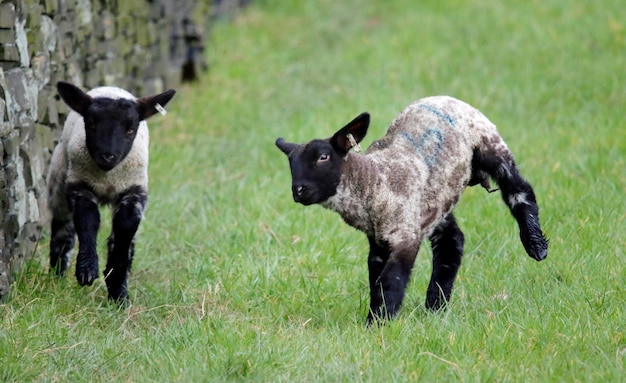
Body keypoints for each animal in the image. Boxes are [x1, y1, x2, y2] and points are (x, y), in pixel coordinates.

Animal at [47, 82, 176, 304]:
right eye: (90, 123)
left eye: (131, 129)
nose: (108, 156)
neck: (108, 178)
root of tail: (110, 87)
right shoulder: (80, 186)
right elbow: (88, 221)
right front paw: (87, 270)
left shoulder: (133, 193)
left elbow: (124, 230)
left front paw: (117, 288)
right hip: (59, 183)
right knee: (62, 235)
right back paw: (56, 278)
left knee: (123, 239)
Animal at [276, 97, 544, 324]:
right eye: (290, 163)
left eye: (323, 157)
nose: (298, 190)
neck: (371, 180)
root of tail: (447, 98)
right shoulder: (379, 238)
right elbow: (375, 277)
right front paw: (378, 315)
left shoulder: (404, 233)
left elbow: (390, 279)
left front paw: (378, 323)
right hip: (435, 200)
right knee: (452, 241)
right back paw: (436, 305)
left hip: (491, 145)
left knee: (520, 191)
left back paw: (535, 244)